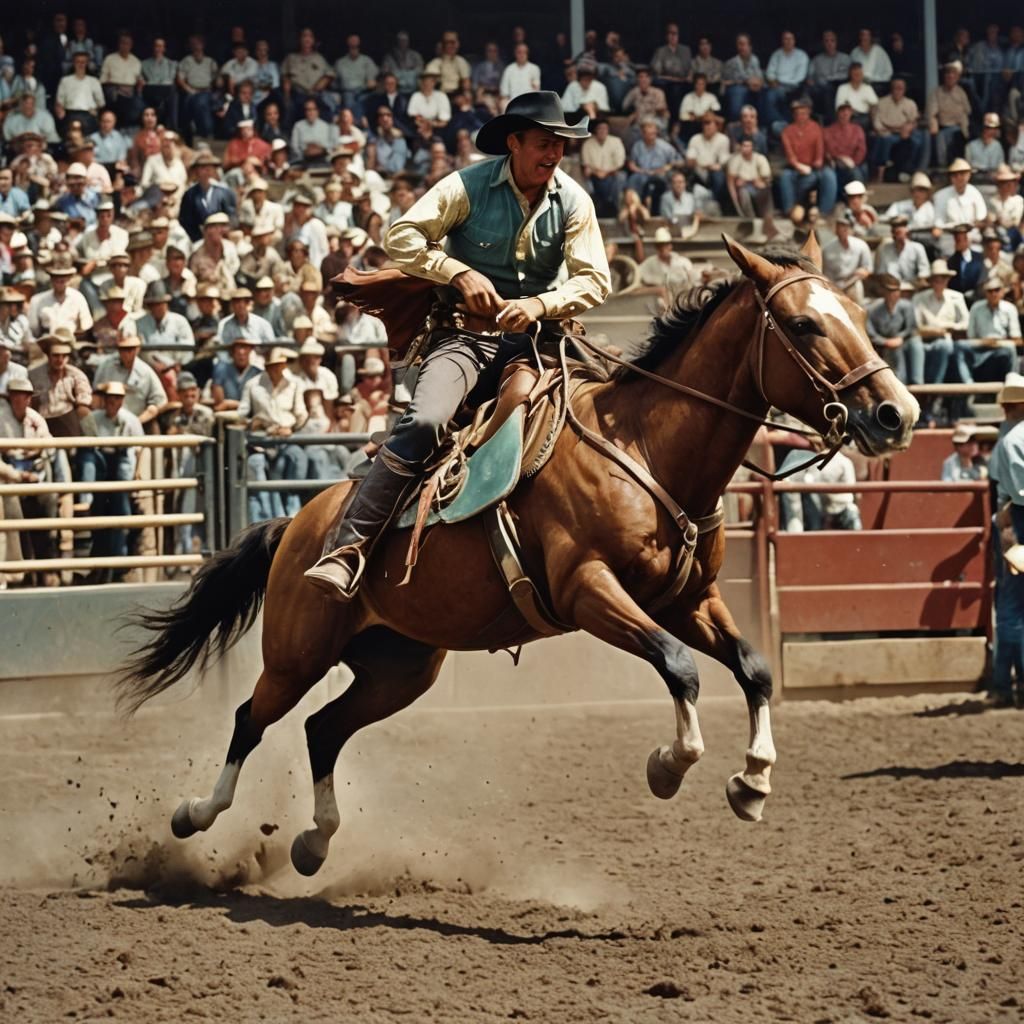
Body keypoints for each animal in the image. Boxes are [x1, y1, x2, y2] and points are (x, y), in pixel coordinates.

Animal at [118, 235, 920, 877]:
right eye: (805, 323)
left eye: (858, 314)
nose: (897, 414)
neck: (644, 446)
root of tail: (296, 527)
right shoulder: (589, 592)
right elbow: (680, 667)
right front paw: (670, 765)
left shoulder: (689, 599)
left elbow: (751, 667)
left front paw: (751, 783)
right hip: (296, 652)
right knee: (252, 718)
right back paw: (195, 813)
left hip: (401, 667)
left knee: (323, 729)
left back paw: (315, 843)